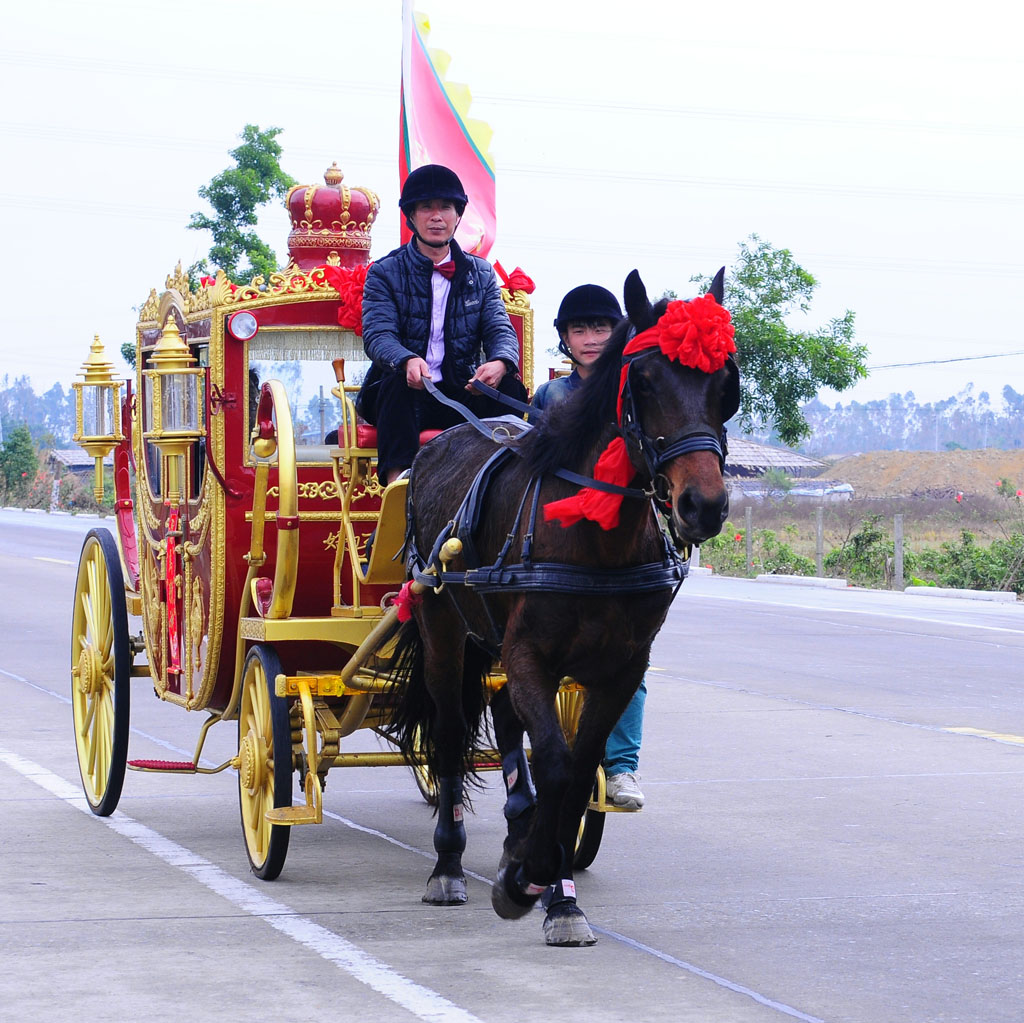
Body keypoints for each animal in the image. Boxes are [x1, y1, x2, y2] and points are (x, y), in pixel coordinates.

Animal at [387, 268, 741, 946]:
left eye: (726, 384)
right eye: (645, 381)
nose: (703, 506)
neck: (596, 536)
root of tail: (441, 439)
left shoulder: (620, 670)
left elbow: (576, 776)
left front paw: (555, 889)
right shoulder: (530, 657)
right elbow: (552, 763)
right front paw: (524, 880)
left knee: (506, 728)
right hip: (443, 627)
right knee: (448, 733)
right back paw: (448, 864)